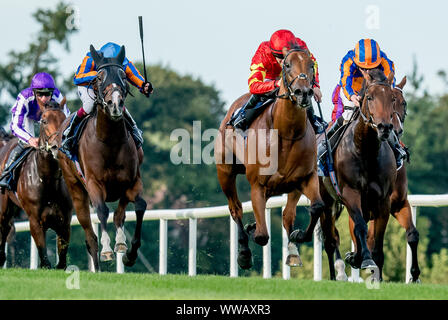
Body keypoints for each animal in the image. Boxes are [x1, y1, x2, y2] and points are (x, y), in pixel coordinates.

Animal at [0, 102, 71, 268]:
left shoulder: (65, 220)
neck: (47, 180)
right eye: (44, 121)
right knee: (3, 227)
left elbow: (62, 261)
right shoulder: (35, 221)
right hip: (3, 207)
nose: (56, 146)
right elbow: (45, 260)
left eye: (64, 120)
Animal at [58, 45, 147, 272]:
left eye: (123, 75)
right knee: (90, 234)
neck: (110, 142)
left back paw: (121, 243)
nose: (115, 104)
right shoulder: (93, 183)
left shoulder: (132, 181)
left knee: (120, 215)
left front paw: (130, 254)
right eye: (99, 77)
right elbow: (102, 211)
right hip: (76, 190)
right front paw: (107, 250)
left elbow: (139, 206)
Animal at [215, 46, 324, 268]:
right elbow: (262, 236)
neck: (287, 133)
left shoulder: (306, 178)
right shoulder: (258, 184)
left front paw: (298, 235)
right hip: (225, 173)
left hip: (290, 187)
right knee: (236, 209)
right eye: (287, 65)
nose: (304, 93)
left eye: (311, 65)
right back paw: (244, 251)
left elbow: (316, 207)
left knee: (287, 214)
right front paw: (250, 236)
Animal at [318, 68, 396, 280]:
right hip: (326, 200)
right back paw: (335, 274)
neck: (366, 151)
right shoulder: (350, 193)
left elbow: (376, 239)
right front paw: (365, 260)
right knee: (330, 240)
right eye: (369, 97)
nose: (385, 128)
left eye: (392, 98)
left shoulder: (382, 200)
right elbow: (360, 226)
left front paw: (374, 271)